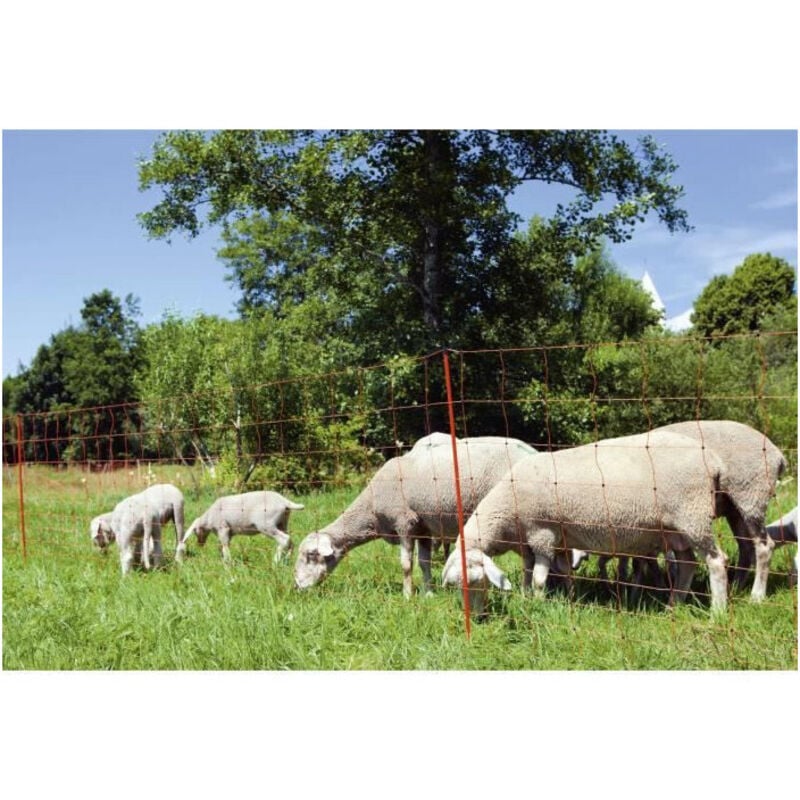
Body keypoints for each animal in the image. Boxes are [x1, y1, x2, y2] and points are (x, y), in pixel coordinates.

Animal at [294, 434, 537, 597]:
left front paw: (407, 595)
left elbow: (406, 564)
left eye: (310, 555)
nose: (296, 586)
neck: (371, 509)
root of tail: (532, 452)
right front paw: (428, 593)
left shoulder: (405, 523)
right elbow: (424, 562)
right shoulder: (424, 529)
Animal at [442, 430, 730, 616]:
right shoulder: (533, 542)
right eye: (456, 586)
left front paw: (537, 604)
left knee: (716, 561)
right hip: (675, 529)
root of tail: (714, 461)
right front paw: (542, 598)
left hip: (693, 514)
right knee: (688, 563)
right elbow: (531, 574)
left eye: (478, 582)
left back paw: (717, 613)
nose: (477, 618)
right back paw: (674, 605)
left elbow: (538, 579)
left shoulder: (543, 533)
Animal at [657, 420, 787, 600]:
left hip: (752, 496)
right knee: (746, 547)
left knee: (764, 546)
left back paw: (756, 596)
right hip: (735, 508)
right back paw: (735, 588)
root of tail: (777, 454)